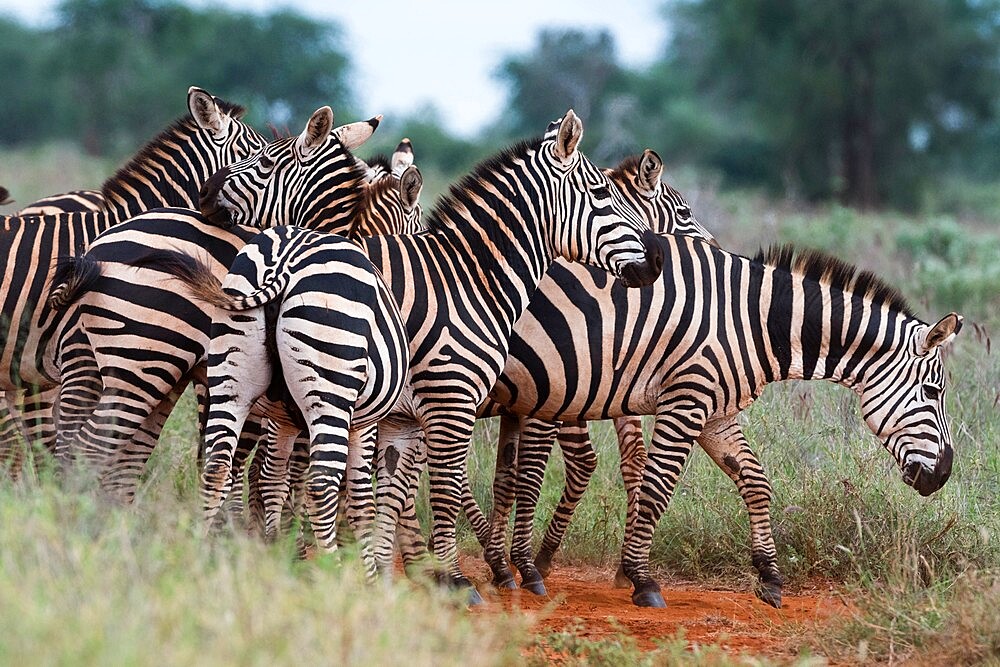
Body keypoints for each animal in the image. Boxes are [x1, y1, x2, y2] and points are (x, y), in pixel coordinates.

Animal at [194, 108, 664, 600]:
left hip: (237, 386)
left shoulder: (398, 419)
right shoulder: (450, 402)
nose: (656, 261)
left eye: (264, 162)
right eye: (601, 193)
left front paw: (378, 575)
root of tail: (286, 260)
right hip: (326, 395)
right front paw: (453, 580)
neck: (469, 279)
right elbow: (443, 490)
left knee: (220, 468)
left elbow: (385, 494)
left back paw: (209, 566)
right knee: (315, 482)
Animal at [484, 236, 960, 612]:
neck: (753, 322)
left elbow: (755, 481)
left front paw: (769, 577)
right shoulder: (686, 398)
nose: (943, 474)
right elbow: (657, 489)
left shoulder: (716, 411)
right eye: (932, 391)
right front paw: (641, 579)